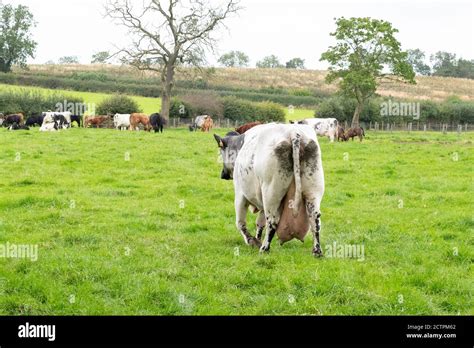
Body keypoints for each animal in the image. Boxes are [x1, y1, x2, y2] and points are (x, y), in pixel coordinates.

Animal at [215, 122, 326, 256]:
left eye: (221, 150)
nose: (223, 174)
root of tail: (293, 132)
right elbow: (259, 222)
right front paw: (256, 239)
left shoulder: (240, 194)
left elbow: (241, 223)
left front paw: (252, 241)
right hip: (313, 191)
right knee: (315, 220)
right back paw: (317, 251)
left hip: (271, 193)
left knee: (272, 221)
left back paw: (264, 249)